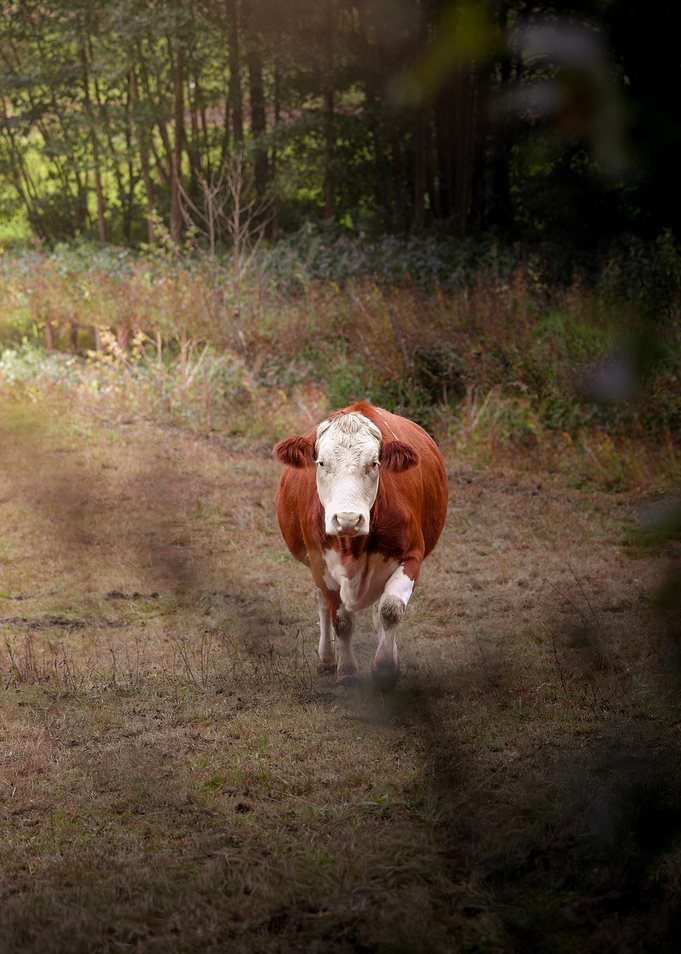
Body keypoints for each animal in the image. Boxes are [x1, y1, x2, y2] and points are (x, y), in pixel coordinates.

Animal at [273, 401, 448, 691]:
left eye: (374, 463)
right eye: (321, 462)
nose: (348, 519)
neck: (352, 545)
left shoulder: (411, 557)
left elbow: (390, 610)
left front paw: (386, 669)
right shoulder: (321, 564)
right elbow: (342, 621)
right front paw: (347, 672)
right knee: (321, 602)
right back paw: (327, 659)